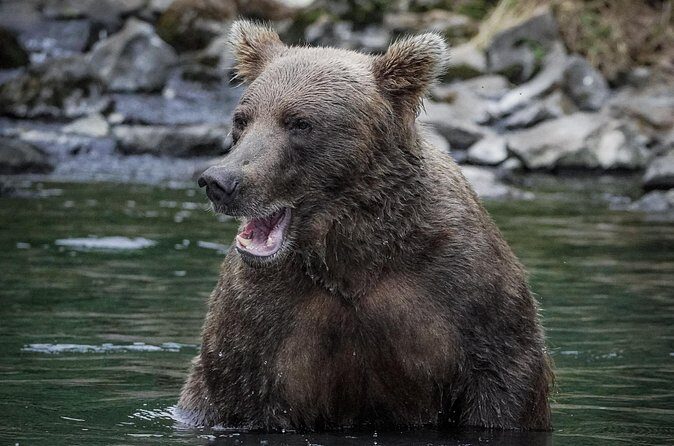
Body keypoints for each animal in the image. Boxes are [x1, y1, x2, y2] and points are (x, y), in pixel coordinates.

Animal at [178, 19, 553, 432]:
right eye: (242, 119)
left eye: (299, 122)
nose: (220, 181)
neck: (351, 253)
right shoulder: (257, 315)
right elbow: (234, 386)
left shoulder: (463, 287)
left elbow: (501, 376)